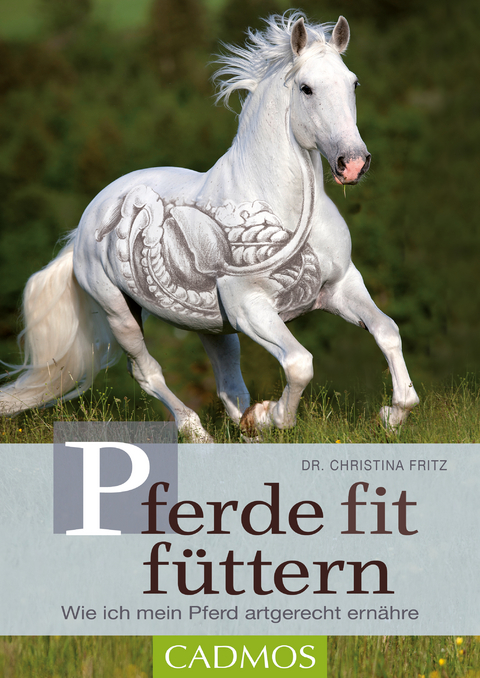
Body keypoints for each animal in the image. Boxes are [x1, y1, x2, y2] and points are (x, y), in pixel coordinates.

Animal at [0, 13, 419, 441]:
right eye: (306, 88)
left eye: (353, 83)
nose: (353, 163)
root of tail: (86, 225)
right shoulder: (250, 307)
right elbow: (300, 363)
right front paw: (270, 416)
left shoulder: (340, 285)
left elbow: (387, 331)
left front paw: (391, 416)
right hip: (120, 312)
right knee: (148, 372)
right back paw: (199, 432)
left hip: (211, 327)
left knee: (229, 386)